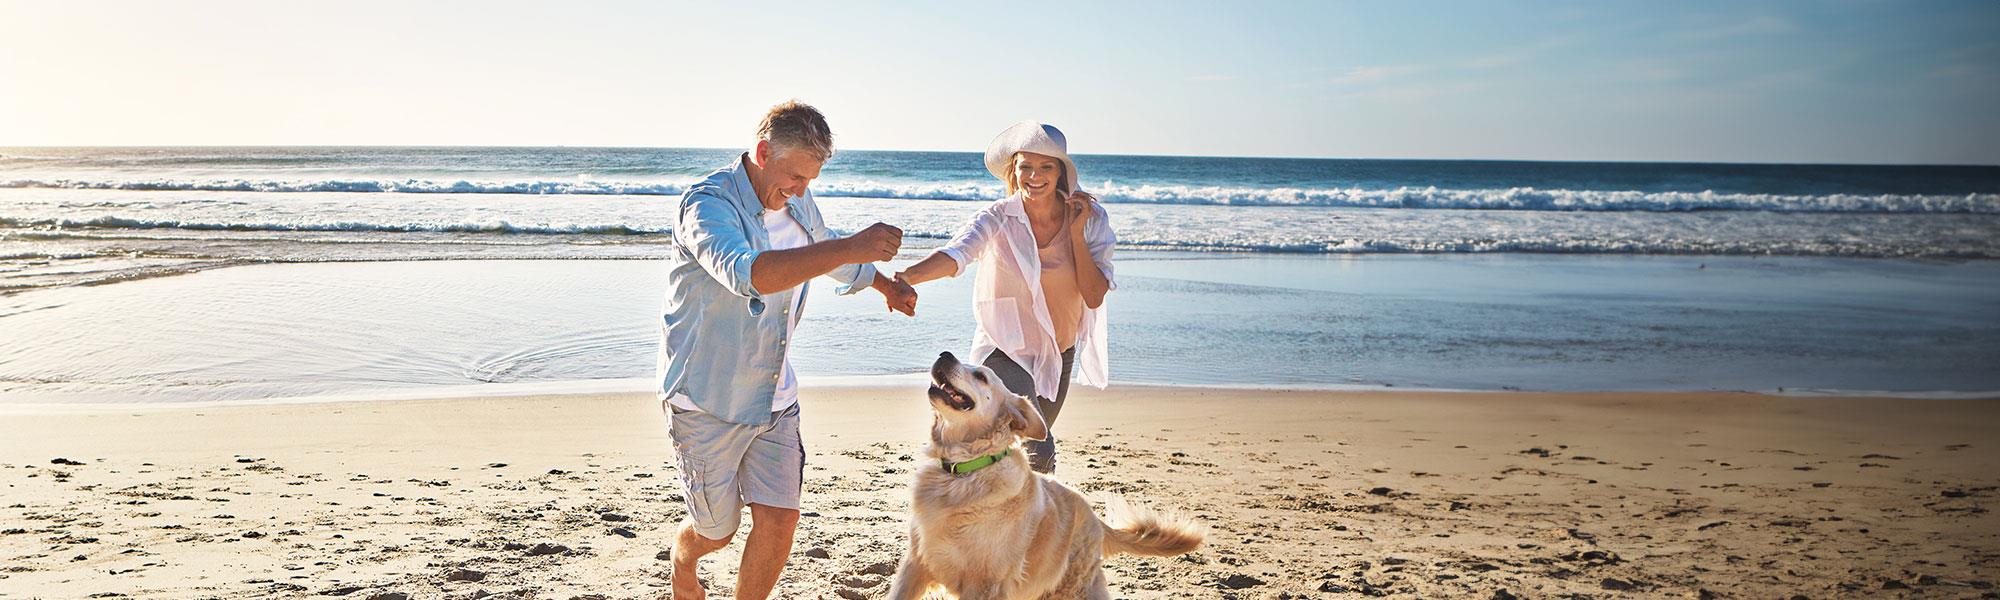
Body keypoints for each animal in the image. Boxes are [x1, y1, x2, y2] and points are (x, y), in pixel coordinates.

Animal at [892, 352, 1200, 600]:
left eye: (980, 375)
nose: (944, 355)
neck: (963, 472)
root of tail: (1096, 519)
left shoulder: (985, 583)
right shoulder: (915, 564)